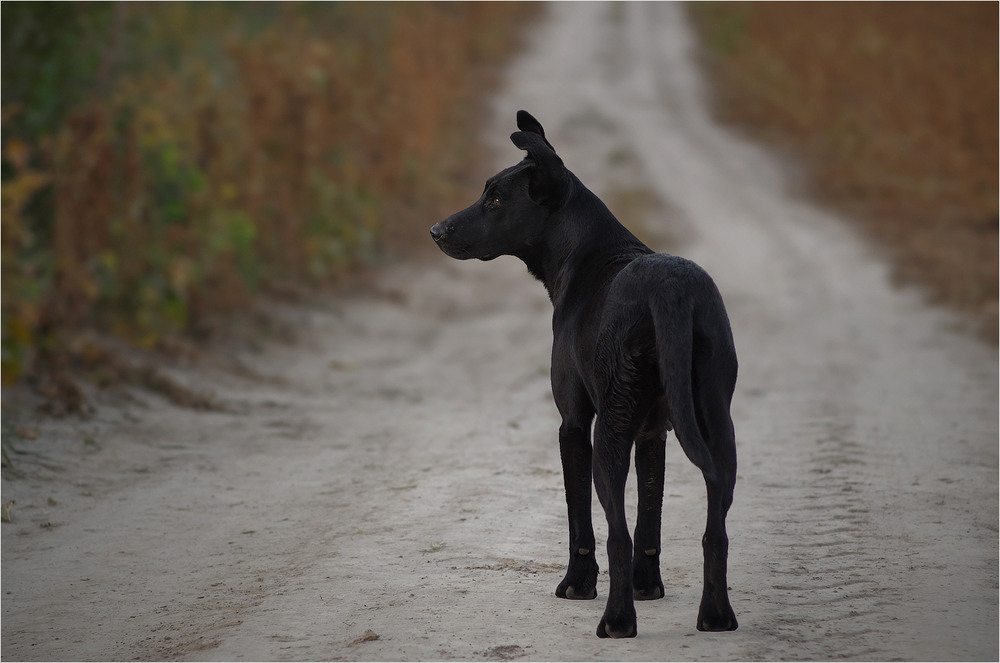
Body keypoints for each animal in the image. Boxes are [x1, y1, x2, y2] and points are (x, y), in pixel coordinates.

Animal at [426, 111, 740, 640]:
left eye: (495, 200)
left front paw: (577, 584)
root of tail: (672, 292)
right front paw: (648, 587)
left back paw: (616, 620)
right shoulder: (654, 433)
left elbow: (581, 520)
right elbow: (650, 518)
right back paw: (715, 617)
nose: (436, 230)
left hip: (609, 432)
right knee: (713, 530)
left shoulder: (573, 423)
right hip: (719, 427)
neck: (584, 251)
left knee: (616, 533)